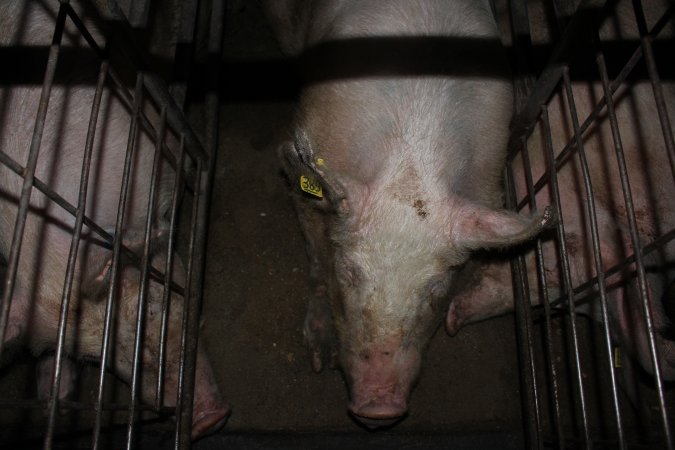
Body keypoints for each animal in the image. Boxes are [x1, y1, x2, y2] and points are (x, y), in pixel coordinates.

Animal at [264, 0, 556, 428]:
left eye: (436, 287)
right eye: (349, 273)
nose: (380, 407)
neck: (410, 168)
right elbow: (316, 253)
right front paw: (319, 358)